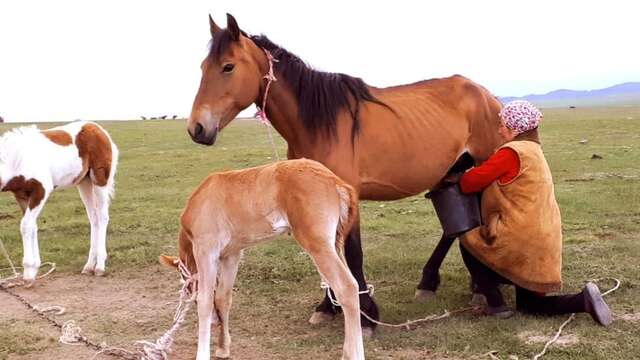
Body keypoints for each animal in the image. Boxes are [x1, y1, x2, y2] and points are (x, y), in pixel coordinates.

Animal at [0, 121, 119, 284]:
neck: (15, 159)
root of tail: (100, 130)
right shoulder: (22, 196)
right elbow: (32, 226)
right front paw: (34, 269)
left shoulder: (41, 190)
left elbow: (25, 226)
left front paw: (29, 273)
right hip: (84, 183)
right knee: (93, 219)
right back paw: (89, 266)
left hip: (99, 180)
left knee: (102, 217)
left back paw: (100, 267)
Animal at [160, 160, 364, 360]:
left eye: (187, 286)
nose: (214, 322)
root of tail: (336, 181)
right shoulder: (231, 255)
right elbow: (223, 297)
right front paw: (223, 348)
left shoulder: (206, 249)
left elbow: (205, 300)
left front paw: (203, 354)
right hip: (335, 244)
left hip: (318, 244)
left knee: (346, 287)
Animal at [185, 13, 504, 334]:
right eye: (202, 67)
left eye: (228, 66)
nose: (197, 128)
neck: (318, 125)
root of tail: (485, 94)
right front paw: (328, 306)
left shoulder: (347, 194)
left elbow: (352, 253)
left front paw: (365, 316)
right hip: (455, 172)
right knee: (456, 227)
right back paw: (442, 283)